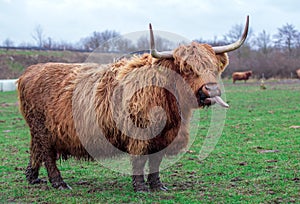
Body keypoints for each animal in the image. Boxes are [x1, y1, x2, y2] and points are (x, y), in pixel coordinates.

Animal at [17, 16, 250, 192]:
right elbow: (139, 160)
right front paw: (140, 187)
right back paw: (59, 183)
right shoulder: (140, 133)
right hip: (44, 130)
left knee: (35, 149)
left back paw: (33, 177)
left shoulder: (165, 136)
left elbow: (156, 161)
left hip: (38, 130)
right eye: (186, 68)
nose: (211, 90)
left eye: (213, 66)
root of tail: (31, 70)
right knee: (48, 155)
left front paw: (157, 186)